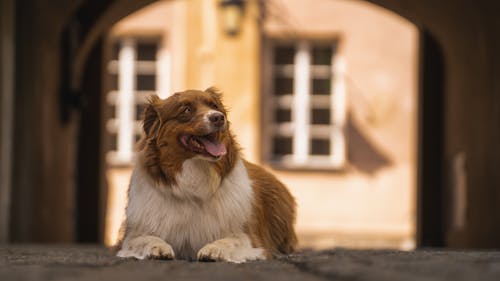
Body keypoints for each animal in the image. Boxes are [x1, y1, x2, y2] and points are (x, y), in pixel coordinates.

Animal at [116, 86, 296, 262]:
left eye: (214, 106)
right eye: (187, 110)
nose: (218, 118)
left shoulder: (250, 239)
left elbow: (229, 241)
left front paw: (214, 249)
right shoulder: (132, 236)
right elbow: (145, 239)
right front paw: (157, 246)